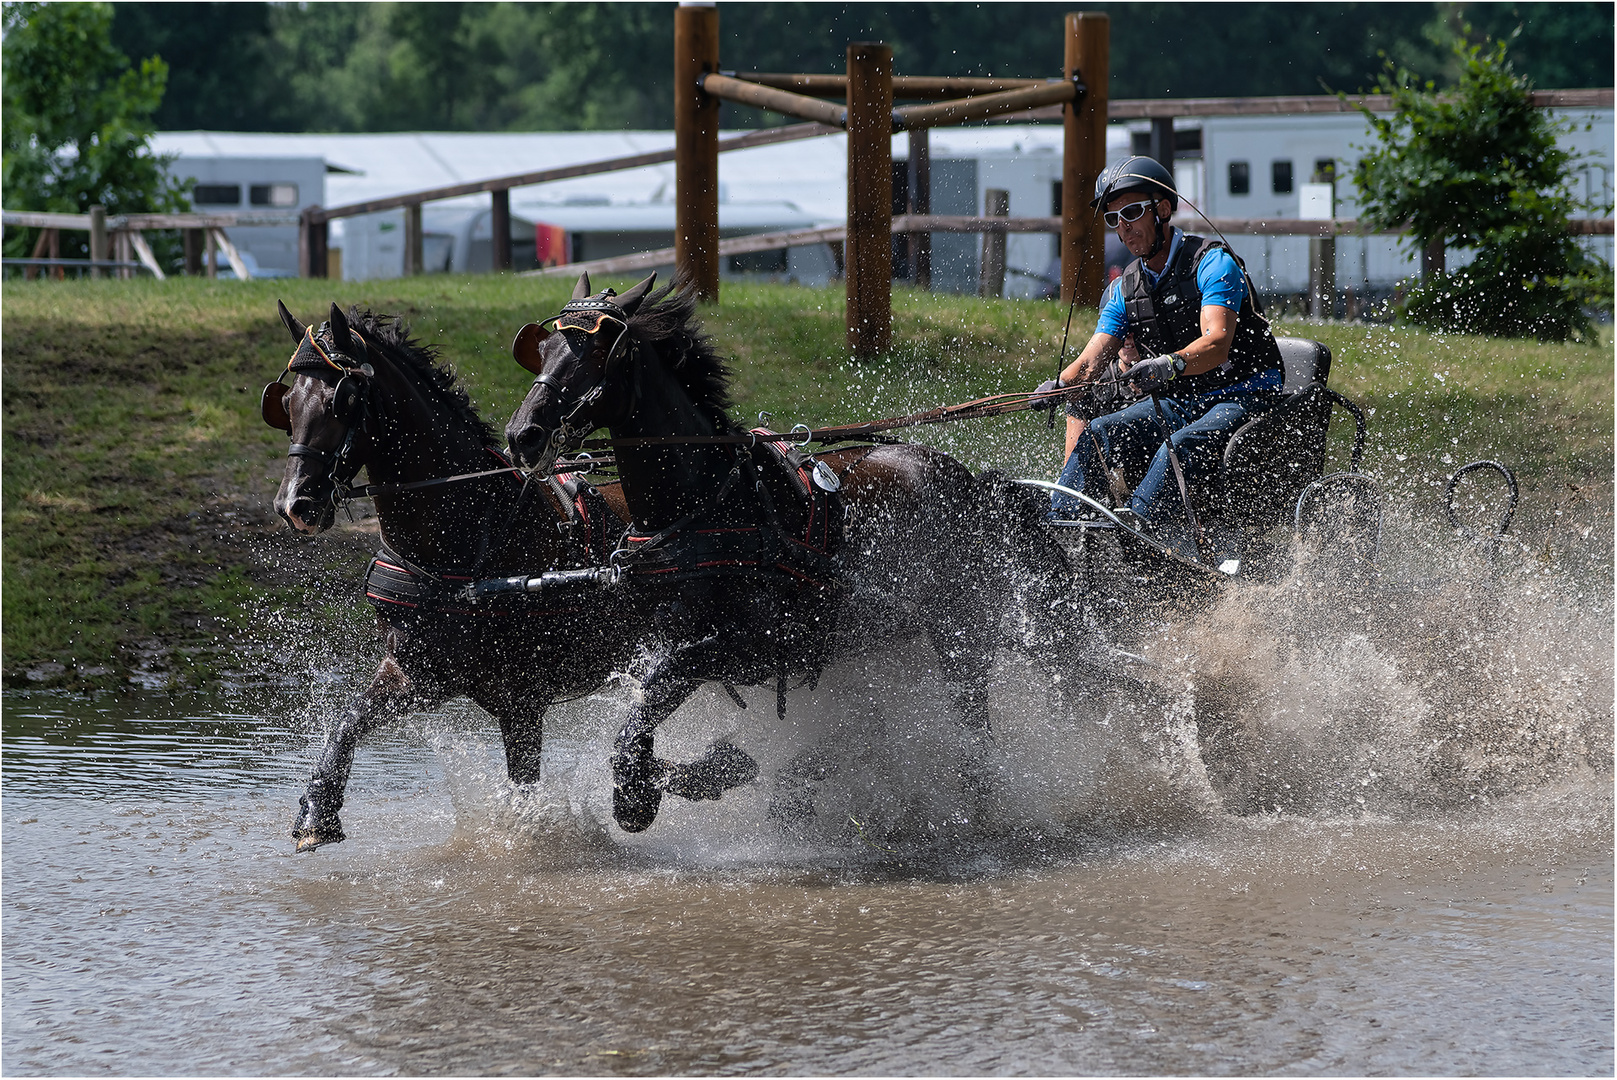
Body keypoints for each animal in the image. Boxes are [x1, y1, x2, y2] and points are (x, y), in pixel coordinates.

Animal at [265, 302, 643, 853]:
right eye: (288, 402)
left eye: (344, 399)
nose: (295, 505)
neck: (471, 530)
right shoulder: (418, 671)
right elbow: (347, 722)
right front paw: (317, 811)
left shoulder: (522, 699)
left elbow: (525, 788)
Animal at [498, 274, 1067, 834]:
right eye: (543, 349)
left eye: (597, 350)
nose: (522, 435)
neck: (708, 506)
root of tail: (969, 480)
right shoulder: (671, 640)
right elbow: (643, 714)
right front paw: (693, 776)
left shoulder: (750, 648)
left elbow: (644, 714)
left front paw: (659, 789)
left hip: (959, 635)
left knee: (973, 730)